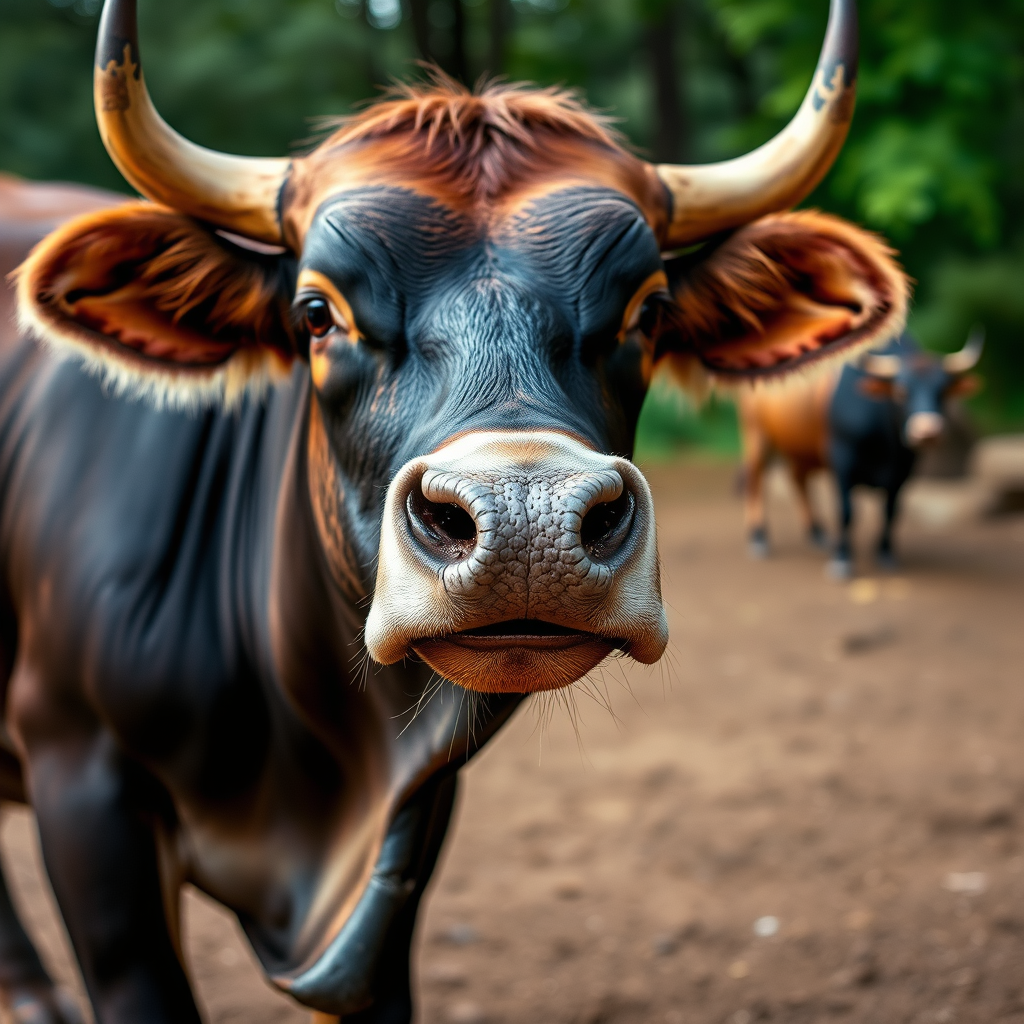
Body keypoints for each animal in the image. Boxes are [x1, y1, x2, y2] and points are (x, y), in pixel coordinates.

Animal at [739, 330, 983, 577]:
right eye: (901, 391)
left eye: (942, 392)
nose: (927, 432)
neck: (886, 445)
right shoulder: (842, 462)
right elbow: (846, 511)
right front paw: (842, 558)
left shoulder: (903, 470)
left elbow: (891, 511)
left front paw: (885, 553)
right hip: (756, 433)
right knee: (756, 478)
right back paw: (759, 536)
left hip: (800, 446)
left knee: (797, 478)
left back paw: (817, 533)